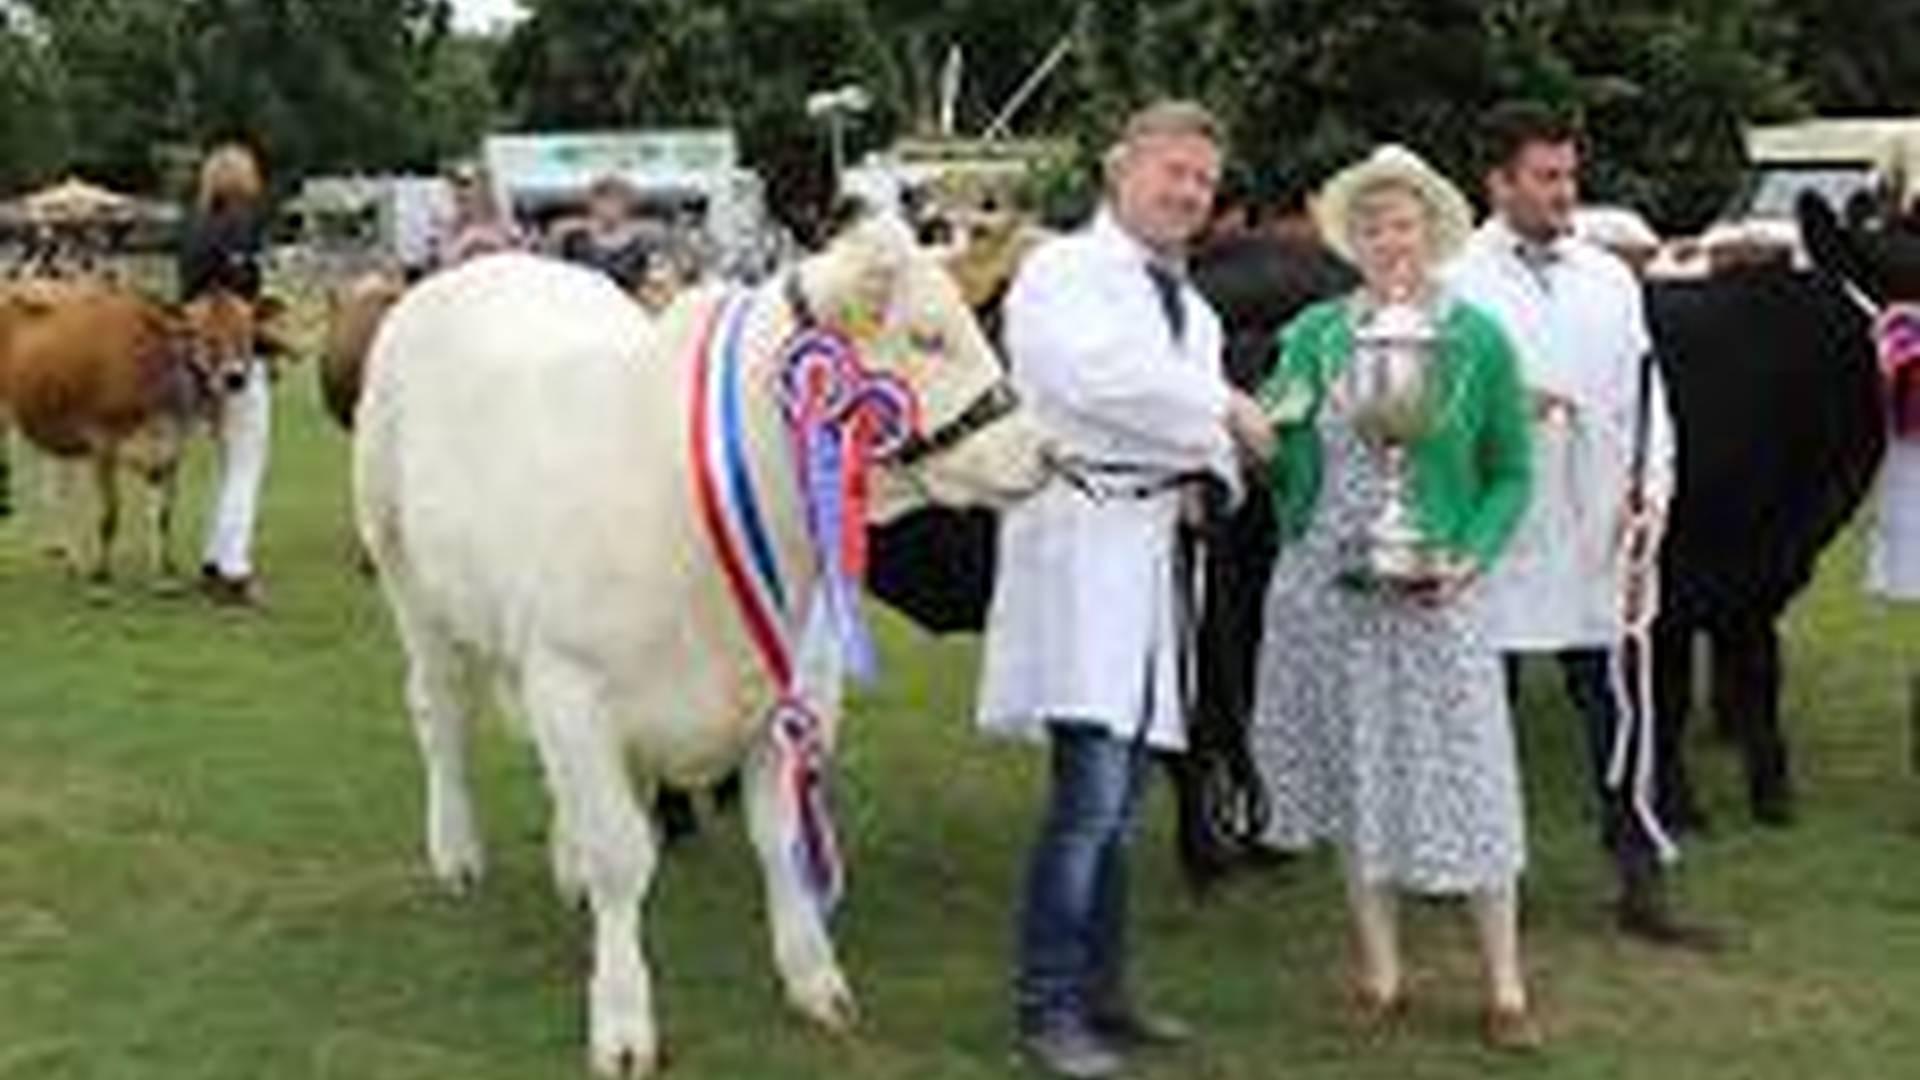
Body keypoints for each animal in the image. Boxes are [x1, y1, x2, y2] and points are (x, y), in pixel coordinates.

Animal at [0, 276, 263, 580]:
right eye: (205, 335)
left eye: (247, 335)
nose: (236, 378)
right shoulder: (102, 442)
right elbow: (110, 512)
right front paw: (101, 572)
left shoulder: (172, 446)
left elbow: (164, 513)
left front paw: (165, 569)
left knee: (57, 493)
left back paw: (67, 557)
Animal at [353, 214, 1059, 1068]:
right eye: (928, 336)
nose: (1047, 452)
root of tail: (482, 266)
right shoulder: (573, 682)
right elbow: (623, 855)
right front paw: (622, 1020)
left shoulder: (795, 691)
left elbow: (781, 841)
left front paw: (813, 977)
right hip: (408, 582)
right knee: (440, 716)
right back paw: (456, 852)